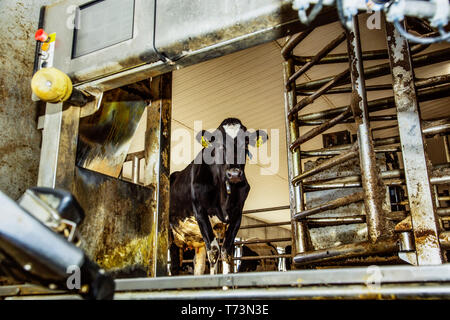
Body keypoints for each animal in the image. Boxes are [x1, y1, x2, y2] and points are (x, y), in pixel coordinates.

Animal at [169, 118, 268, 276]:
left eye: (246, 142)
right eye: (219, 143)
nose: (234, 173)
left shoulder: (237, 215)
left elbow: (226, 252)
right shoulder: (200, 212)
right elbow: (214, 251)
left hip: (198, 241)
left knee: (199, 265)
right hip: (172, 237)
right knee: (174, 266)